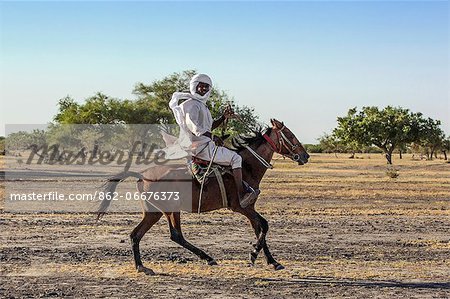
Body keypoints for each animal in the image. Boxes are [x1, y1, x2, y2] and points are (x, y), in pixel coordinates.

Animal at [97, 119, 310, 276]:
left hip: (155, 212)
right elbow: (264, 226)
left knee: (141, 235)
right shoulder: (243, 207)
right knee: (172, 235)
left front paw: (271, 261)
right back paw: (204, 258)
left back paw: (143, 266)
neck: (247, 168)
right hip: (166, 210)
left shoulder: (250, 209)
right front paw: (253, 254)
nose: (305, 155)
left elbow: (260, 229)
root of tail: (142, 175)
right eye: (290, 135)